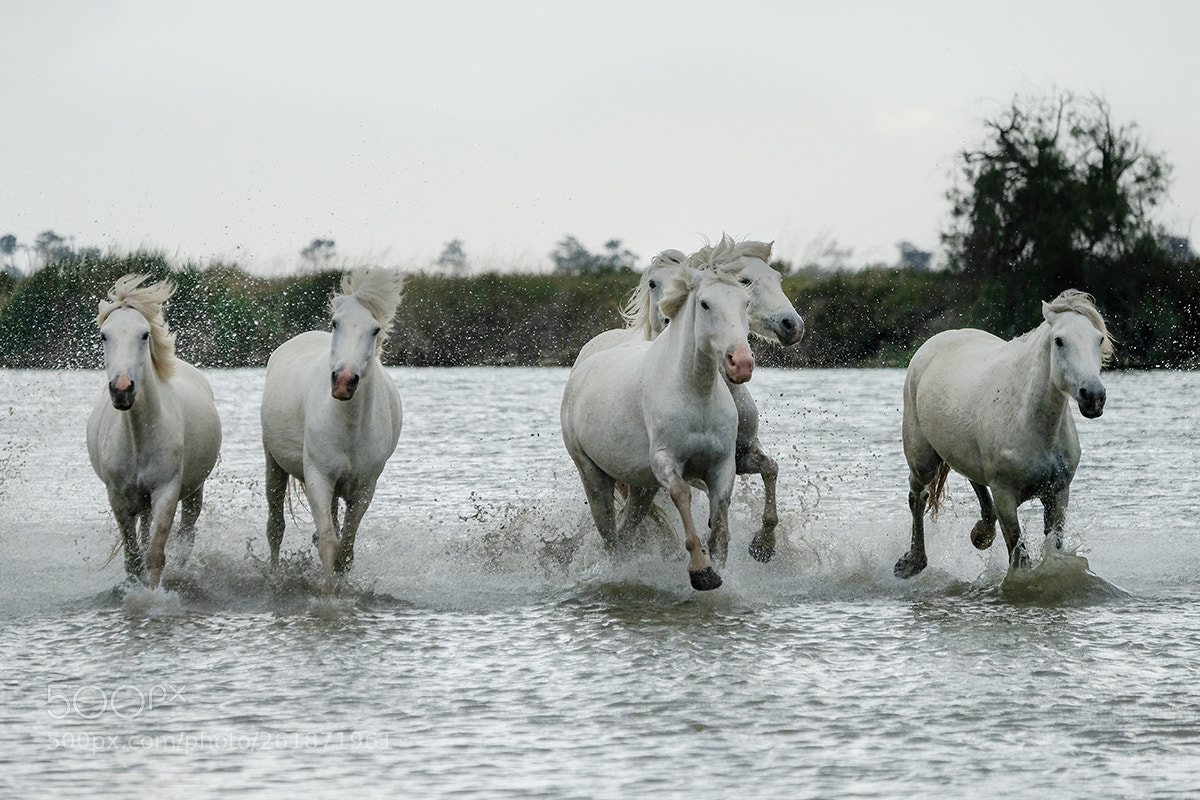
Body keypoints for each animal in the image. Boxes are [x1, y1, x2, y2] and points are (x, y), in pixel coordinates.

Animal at [86, 274, 222, 590]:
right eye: (104, 335)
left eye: (144, 334)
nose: (122, 389)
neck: (137, 437)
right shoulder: (118, 496)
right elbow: (133, 556)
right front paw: (133, 587)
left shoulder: (166, 492)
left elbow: (155, 554)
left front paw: (151, 594)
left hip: (194, 490)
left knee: (186, 534)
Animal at [260, 268, 404, 595]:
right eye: (335, 323)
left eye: (375, 329)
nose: (343, 381)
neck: (348, 427)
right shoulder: (318, 479)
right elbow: (328, 542)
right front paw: (329, 595)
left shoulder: (364, 488)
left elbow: (345, 549)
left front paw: (341, 586)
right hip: (273, 463)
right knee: (275, 526)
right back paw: (273, 575)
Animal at [561, 266, 755, 590]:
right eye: (705, 304)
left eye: (746, 303)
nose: (740, 363)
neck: (695, 393)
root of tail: (582, 368)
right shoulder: (666, 460)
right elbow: (681, 494)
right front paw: (701, 570)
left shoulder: (723, 463)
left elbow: (720, 511)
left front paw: (720, 563)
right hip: (593, 476)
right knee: (610, 536)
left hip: (642, 486)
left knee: (626, 530)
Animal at [572, 236, 804, 562]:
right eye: (745, 280)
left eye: (777, 278)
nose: (792, 325)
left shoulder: (740, 454)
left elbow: (770, 469)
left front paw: (762, 544)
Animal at [894, 289, 1113, 579]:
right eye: (1059, 341)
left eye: (1098, 339)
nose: (1094, 397)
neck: (1031, 423)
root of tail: (934, 342)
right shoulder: (1006, 497)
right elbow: (1018, 555)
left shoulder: (1057, 494)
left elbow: (1053, 548)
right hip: (922, 460)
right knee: (917, 497)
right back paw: (912, 562)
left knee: (974, 481)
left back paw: (982, 533)